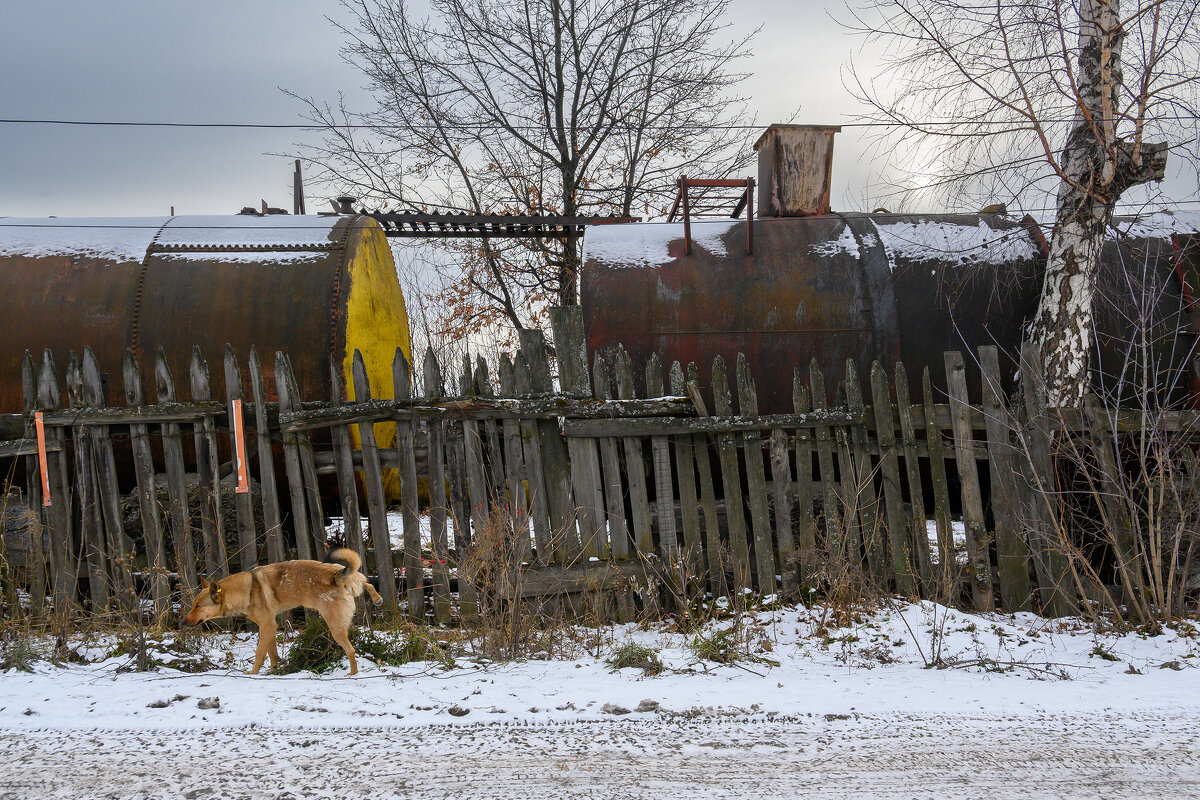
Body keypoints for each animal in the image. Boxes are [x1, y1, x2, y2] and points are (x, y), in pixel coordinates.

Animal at [181, 546, 384, 671]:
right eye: (193, 605)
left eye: (198, 606)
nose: (183, 622)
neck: (248, 590)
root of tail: (337, 576)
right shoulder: (270, 627)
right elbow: (272, 654)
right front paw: (272, 671)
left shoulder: (266, 626)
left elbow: (259, 654)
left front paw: (252, 674)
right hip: (352, 585)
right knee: (365, 582)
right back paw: (376, 598)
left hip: (335, 627)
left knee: (351, 651)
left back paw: (352, 674)